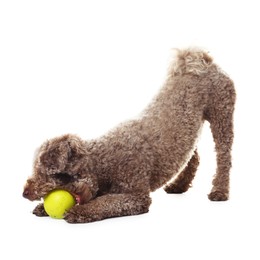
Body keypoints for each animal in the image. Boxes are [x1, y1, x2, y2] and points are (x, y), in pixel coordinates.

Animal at [22, 48, 236, 223]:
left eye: (47, 173)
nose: (25, 192)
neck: (102, 162)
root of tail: (203, 61)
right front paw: (43, 207)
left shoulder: (136, 195)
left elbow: (106, 202)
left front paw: (81, 211)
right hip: (190, 132)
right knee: (193, 156)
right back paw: (179, 185)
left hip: (222, 115)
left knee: (224, 158)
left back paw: (219, 191)